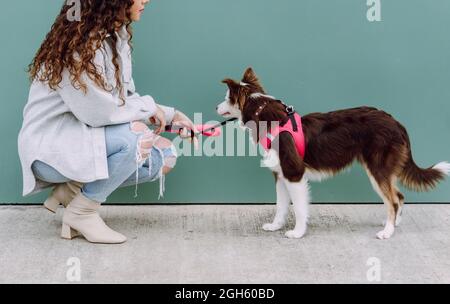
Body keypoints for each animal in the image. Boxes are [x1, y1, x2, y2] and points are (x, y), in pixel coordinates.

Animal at [216, 68, 448, 240]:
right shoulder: (280, 175)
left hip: (377, 169)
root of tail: (396, 122)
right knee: (399, 196)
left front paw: (298, 233)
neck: (268, 118)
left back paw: (387, 232)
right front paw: (275, 226)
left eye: (227, 98)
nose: (216, 107)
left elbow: (299, 208)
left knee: (392, 201)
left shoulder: (294, 174)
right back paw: (395, 224)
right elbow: (281, 206)